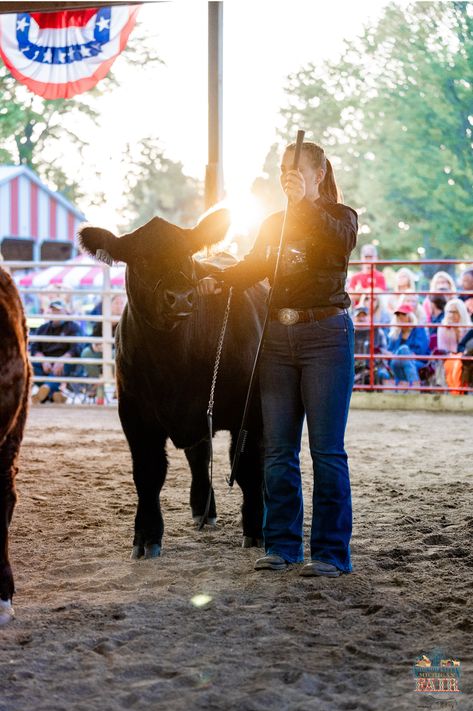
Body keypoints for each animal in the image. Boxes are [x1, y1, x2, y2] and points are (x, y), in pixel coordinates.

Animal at [80, 211, 266, 560]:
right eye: (140, 258)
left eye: (188, 253)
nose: (179, 296)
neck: (174, 360)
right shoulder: (134, 413)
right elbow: (148, 474)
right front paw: (146, 536)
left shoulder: (251, 408)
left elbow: (248, 464)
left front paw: (256, 529)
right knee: (199, 456)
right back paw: (203, 508)